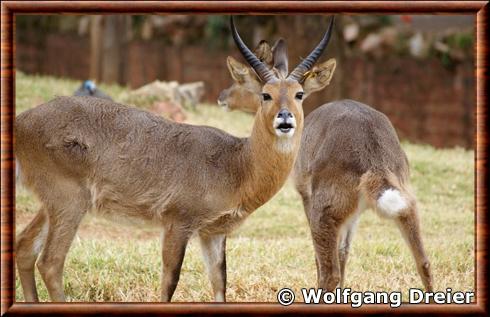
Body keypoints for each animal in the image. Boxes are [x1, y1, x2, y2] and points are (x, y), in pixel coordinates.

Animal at [16, 15, 336, 302]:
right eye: (265, 95)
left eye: (300, 94)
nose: (285, 119)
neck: (237, 164)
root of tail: (21, 121)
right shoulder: (177, 223)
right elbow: (169, 282)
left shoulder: (213, 233)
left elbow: (219, 283)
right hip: (69, 201)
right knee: (51, 262)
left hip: (53, 204)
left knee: (24, 247)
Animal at [218, 38, 432, 290]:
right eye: (266, 93)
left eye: (252, 86)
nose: (222, 96)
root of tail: (374, 156)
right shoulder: (353, 216)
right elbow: (344, 252)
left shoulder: (306, 198)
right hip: (406, 205)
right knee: (424, 263)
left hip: (325, 212)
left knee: (330, 272)